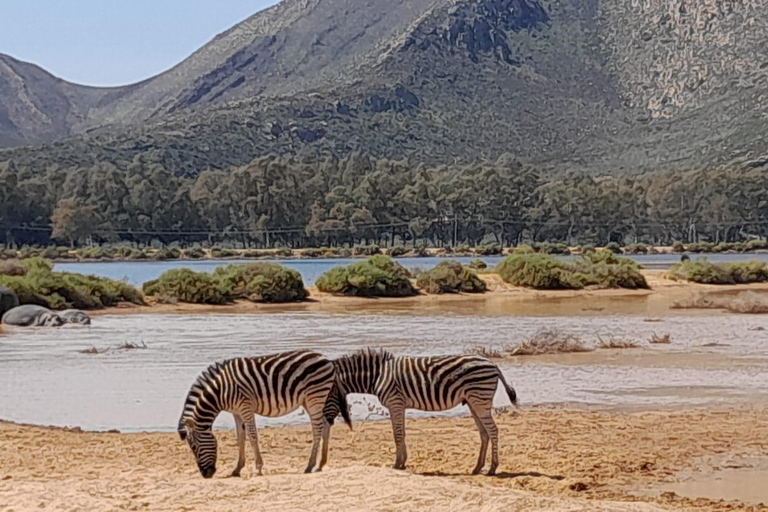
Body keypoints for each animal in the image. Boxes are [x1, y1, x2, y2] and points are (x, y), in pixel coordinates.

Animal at [177, 350, 352, 478]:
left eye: (194, 447)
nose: (206, 474)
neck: (221, 390)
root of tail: (326, 360)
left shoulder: (245, 406)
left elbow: (252, 436)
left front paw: (258, 468)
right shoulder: (236, 412)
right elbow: (240, 437)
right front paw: (237, 469)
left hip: (314, 397)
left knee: (317, 429)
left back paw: (310, 465)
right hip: (310, 400)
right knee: (325, 424)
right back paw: (321, 463)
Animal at [328, 348, 520, 476]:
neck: (378, 376)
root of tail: (492, 364)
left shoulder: (394, 403)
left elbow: (397, 434)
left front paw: (397, 464)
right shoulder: (398, 405)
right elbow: (402, 433)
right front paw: (403, 462)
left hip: (480, 400)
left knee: (493, 430)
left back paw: (492, 468)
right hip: (474, 402)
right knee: (484, 433)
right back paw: (477, 467)